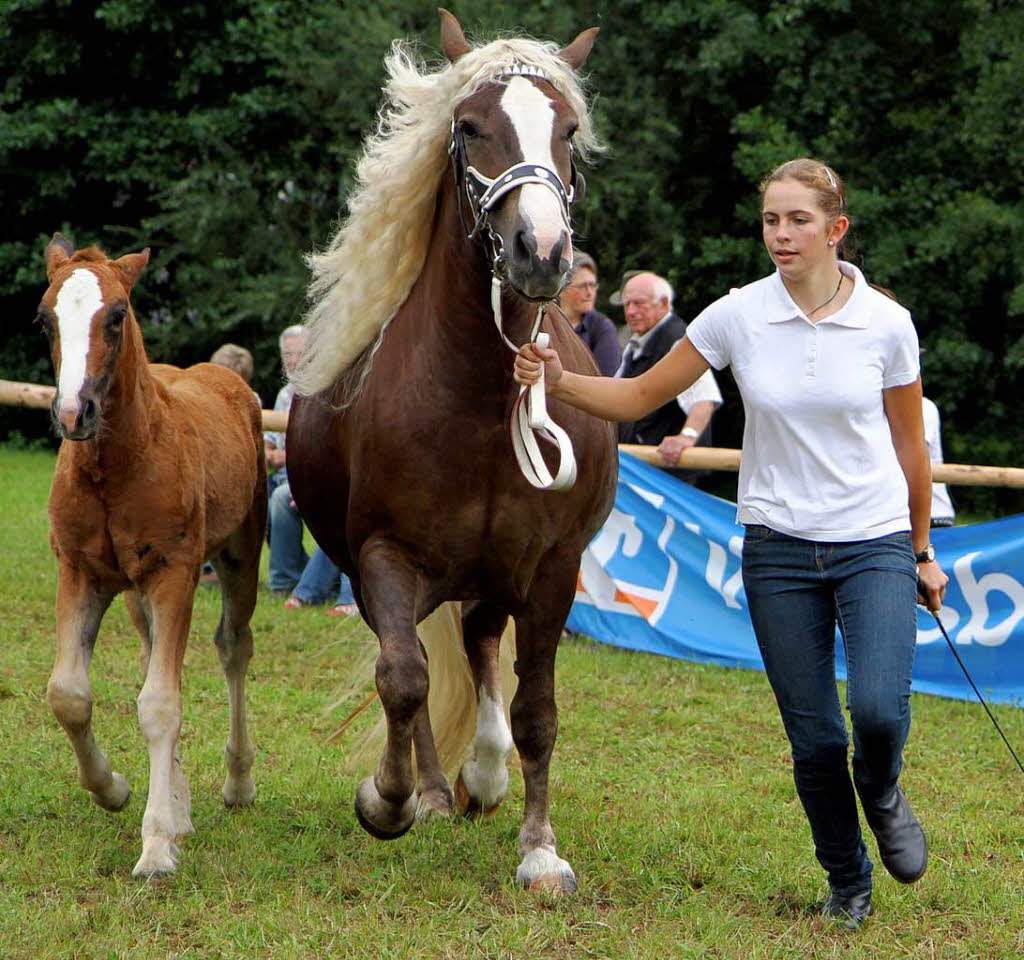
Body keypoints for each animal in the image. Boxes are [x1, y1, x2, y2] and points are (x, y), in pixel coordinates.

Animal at [38, 234, 266, 876]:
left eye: (116, 316)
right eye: (44, 319)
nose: (74, 413)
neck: (114, 468)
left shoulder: (175, 572)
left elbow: (161, 704)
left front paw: (158, 844)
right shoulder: (78, 571)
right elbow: (69, 694)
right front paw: (112, 788)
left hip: (239, 555)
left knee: (233, 648)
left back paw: (238, 783)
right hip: (138, 592)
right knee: (150, 658)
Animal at [284, 11, 610, 892]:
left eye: (569, 131)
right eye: (469, 127)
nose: (542, 252)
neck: (477, 398)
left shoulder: (551, 568)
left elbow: (537, 710)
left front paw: (541, 849)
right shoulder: (383, 557)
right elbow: (403, 680)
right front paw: (391, 799)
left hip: (494, 578)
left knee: (482, 649)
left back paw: (486, 776)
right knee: (422, 669)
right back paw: (434, 790)